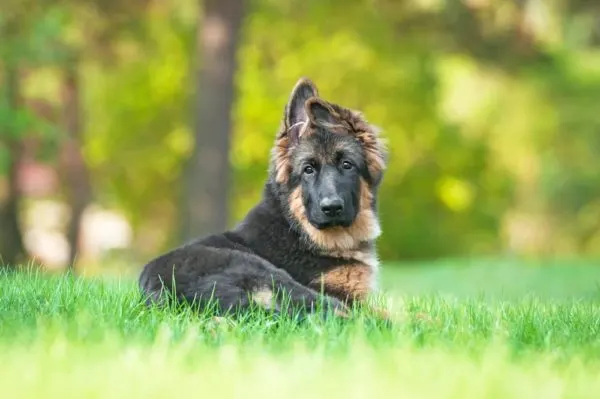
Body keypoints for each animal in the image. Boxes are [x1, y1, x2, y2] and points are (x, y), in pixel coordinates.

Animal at [137, 76, 390, 318]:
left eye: (347, 165)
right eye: (308, 170)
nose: (332, 208)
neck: (297, 228)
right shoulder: (344, 295)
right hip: (268, 273)